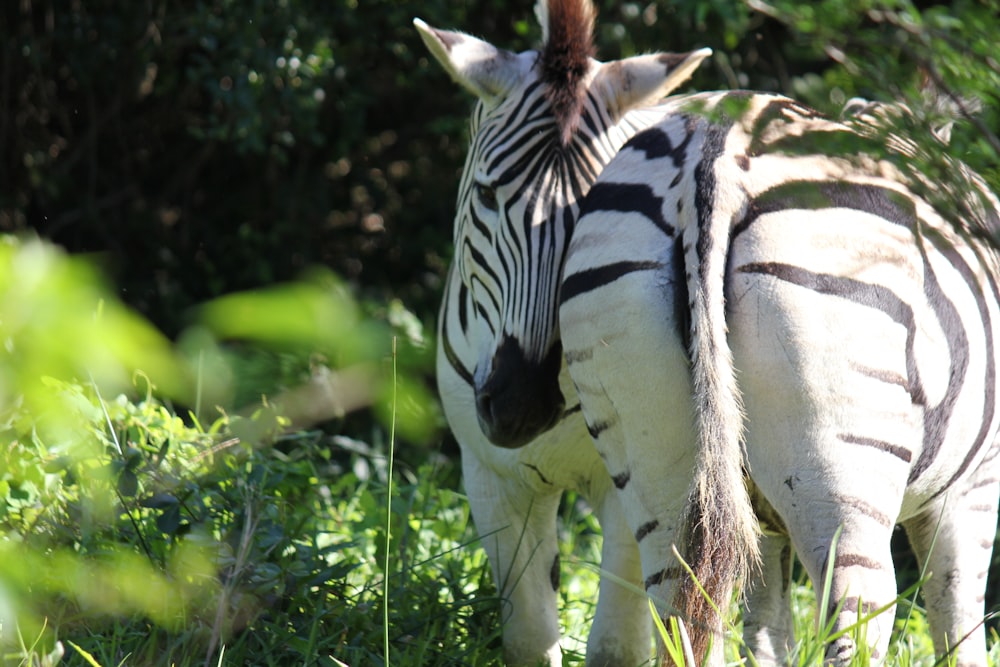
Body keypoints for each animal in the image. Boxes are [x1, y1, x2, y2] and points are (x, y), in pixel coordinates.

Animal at [414, 2, 712, 664]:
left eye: (602, 205)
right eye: (487, 194)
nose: (520, 406)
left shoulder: (636, 484)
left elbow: (617, 645)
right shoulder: (492, 478)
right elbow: (529, 635)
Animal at [564, 87, 1000, 664]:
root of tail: (716, 148)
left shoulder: (762, 519)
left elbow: (766, 629)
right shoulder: (976, 485)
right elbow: (958, 619)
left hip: (650, 433)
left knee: (681, 610)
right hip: (839, 448)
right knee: (858, 612)